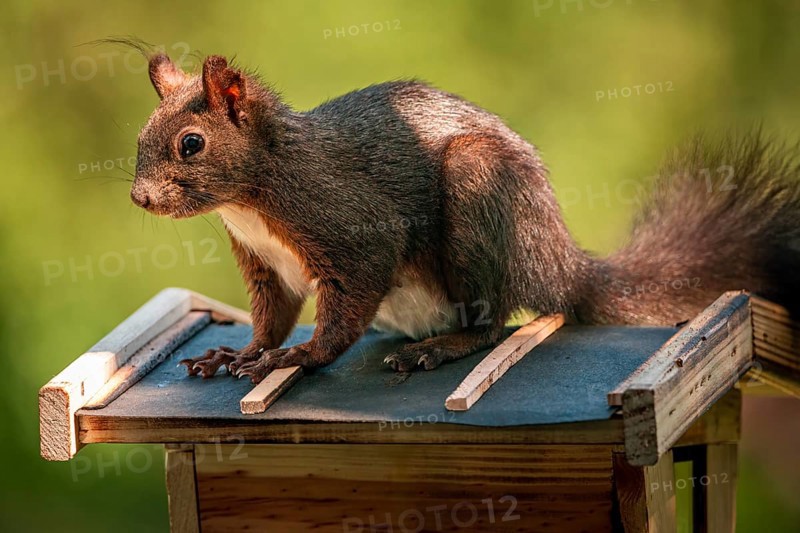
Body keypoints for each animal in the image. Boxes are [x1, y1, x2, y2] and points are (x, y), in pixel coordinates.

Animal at [130, 53, 800, 383]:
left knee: (491, 323)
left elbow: (343, 311)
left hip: (479, 193)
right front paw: (236, 354)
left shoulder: (350, 225)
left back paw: (439, 349)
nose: (139, 198)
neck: (251, 200)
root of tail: (561, 263)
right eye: (140, 137)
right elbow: (271, 316)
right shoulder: (265, 263)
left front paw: (297, 357)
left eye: (191, 144)